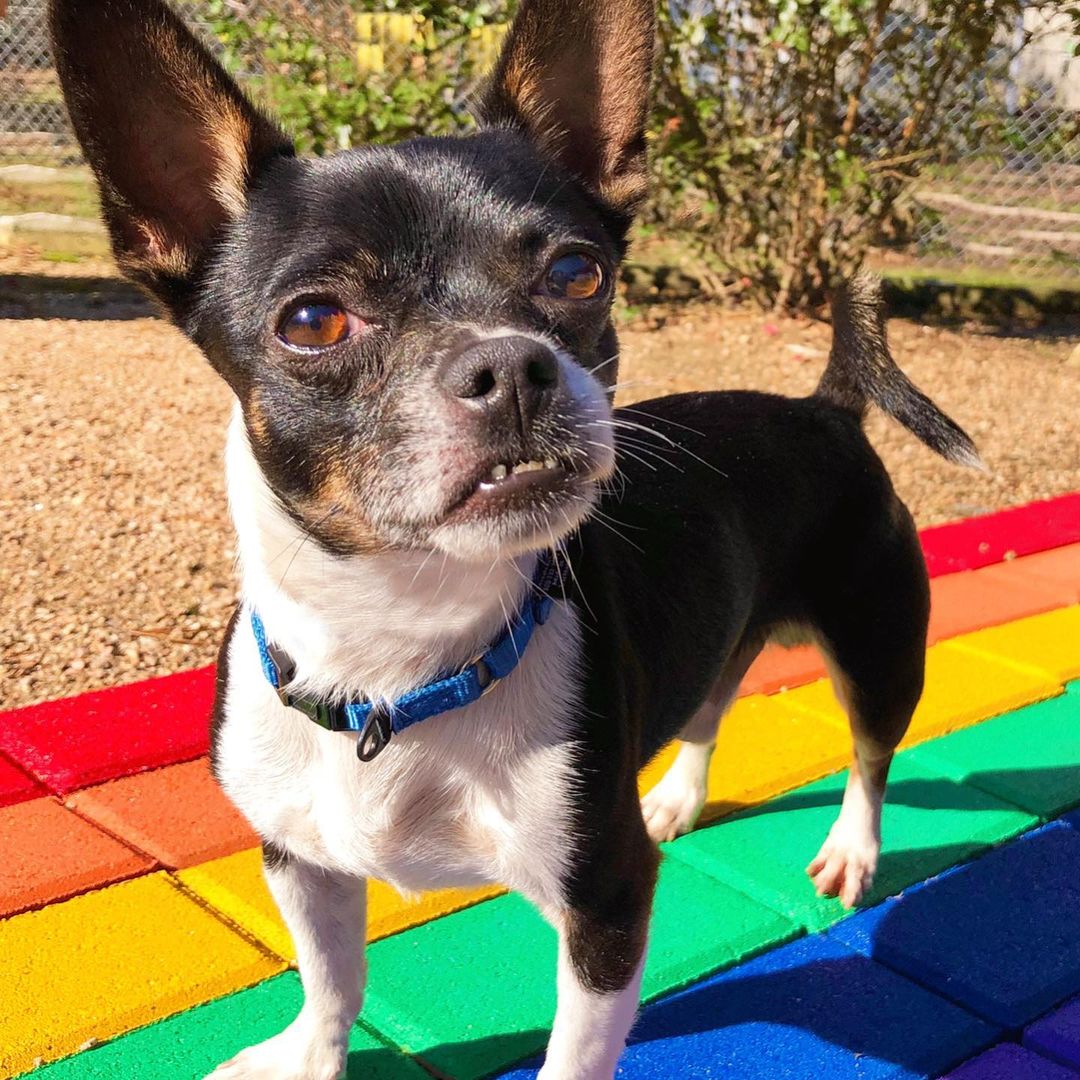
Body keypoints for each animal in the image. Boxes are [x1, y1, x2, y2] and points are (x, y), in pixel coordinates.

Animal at [48, 0, 980, 1075]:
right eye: (313, 321)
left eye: (579, 274)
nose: (513, 366)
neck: (403, 665)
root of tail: (823, 406)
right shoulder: (299, 859)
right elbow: (330, 977)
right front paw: (308, 1054)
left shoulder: (605, 902)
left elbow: (573, 1050)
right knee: (710, 703)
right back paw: (675, 798)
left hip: (879, 646)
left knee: (870, 754)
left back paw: (852, 852)